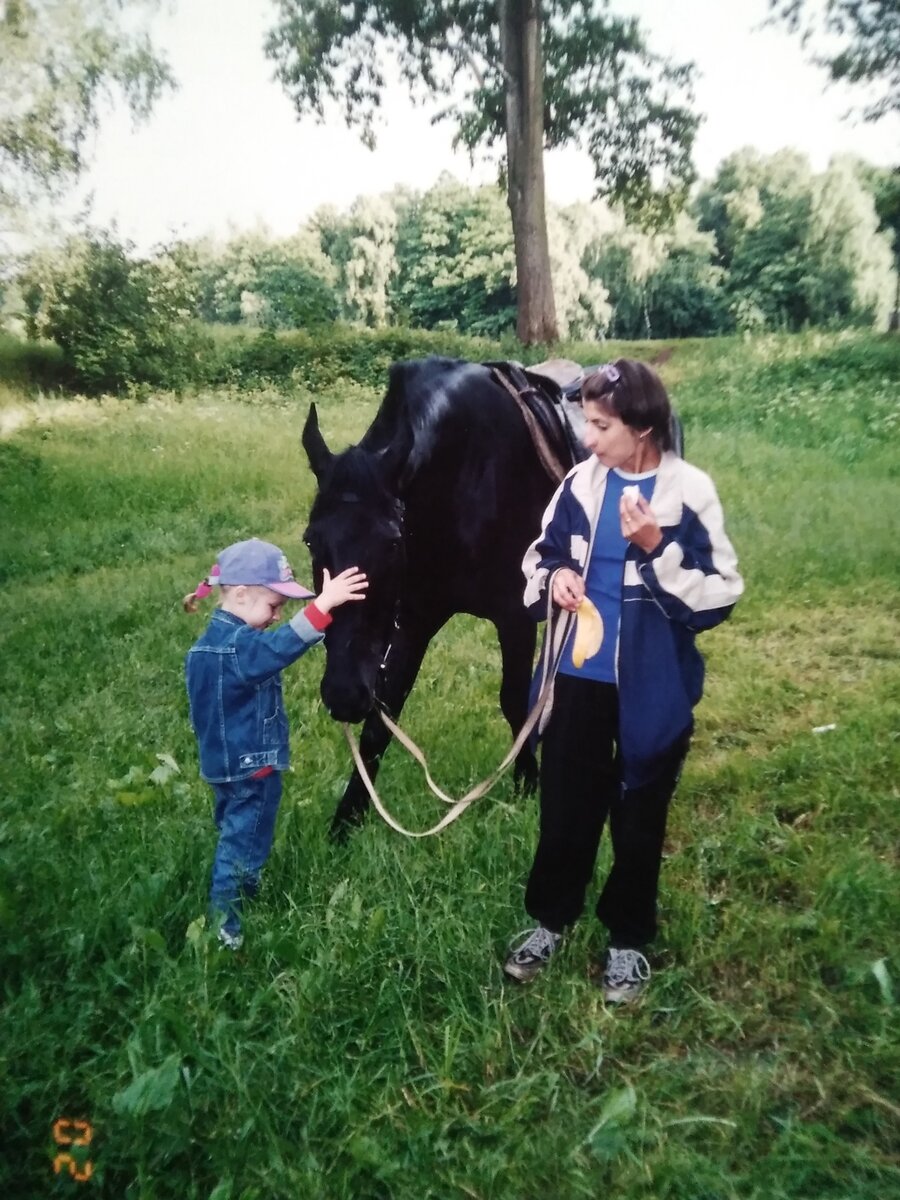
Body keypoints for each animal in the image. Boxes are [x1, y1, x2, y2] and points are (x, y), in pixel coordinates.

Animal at [303, 352, 585, 835]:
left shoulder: (514, 617)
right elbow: (382, 718)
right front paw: (348, 819)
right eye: (310, 542)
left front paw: (527, 783)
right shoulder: (413, 619)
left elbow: (515, 703)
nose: (343, 693)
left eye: (391, 543)